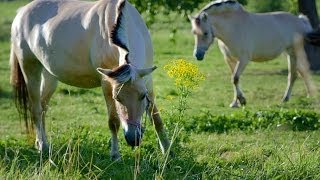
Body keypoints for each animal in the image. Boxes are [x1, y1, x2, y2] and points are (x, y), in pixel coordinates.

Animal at [9, 0, 170, 160]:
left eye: (142, 96)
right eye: (117, 99)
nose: (133, 139)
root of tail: (21, 12)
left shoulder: (147, 81)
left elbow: (156, 118)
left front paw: (167, 150)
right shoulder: (107, 84)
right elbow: (113, 121)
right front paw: (115, 155)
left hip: (49, 76)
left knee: (43, 107)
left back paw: (40, 143)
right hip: (30, 69)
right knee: (36, 109)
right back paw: (43, 146)